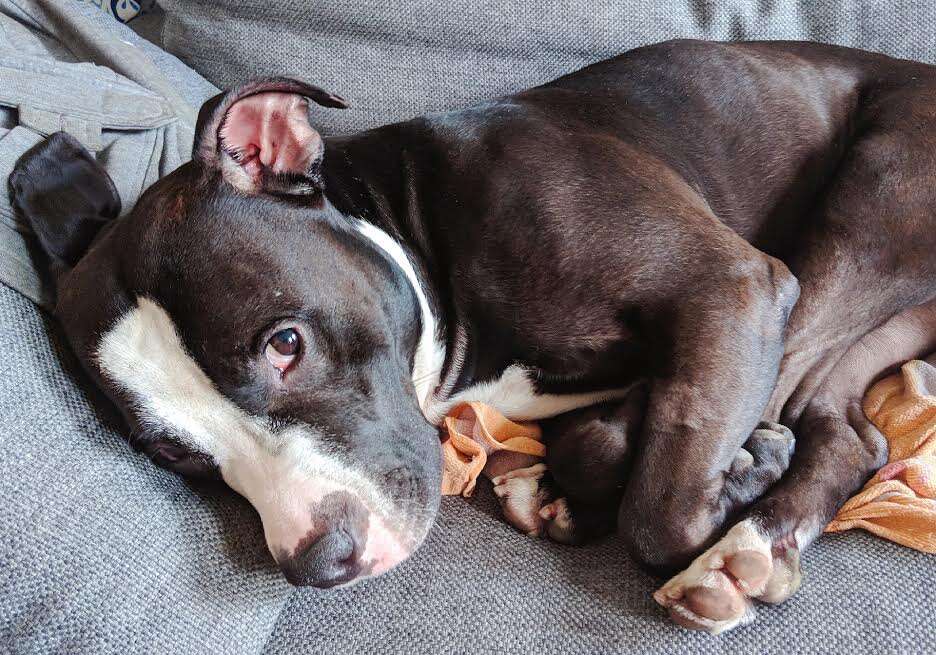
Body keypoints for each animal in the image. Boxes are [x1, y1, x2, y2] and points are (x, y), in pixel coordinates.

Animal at [12, 38, 936, 632]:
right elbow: (625, 443)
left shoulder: (734, 286)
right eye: (175, 454)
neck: (421, 235)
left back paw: (742, 524)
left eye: (284, 343)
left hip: (859, 204)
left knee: (783, 403)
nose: (318, 560)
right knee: (848, 435)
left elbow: (661, 509)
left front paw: (706, 470)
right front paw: (584, 471)